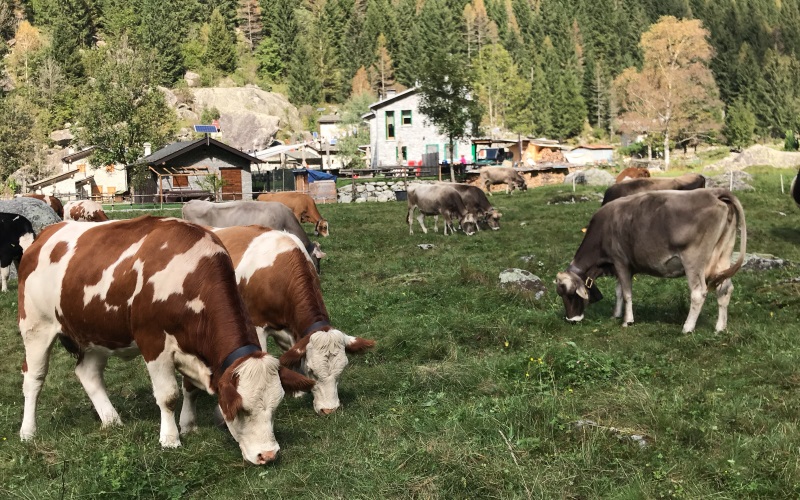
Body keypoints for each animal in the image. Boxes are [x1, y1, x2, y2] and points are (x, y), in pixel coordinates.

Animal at [18, 217, 312, 466]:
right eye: (240, 409)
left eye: (276, 407)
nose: (269, 455)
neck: (191, 276)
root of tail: (45, 234)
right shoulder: (153, 341)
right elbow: (168, 395)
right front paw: (170, 438)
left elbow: (190, 388)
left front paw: (188, 425)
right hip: (35, 326)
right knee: (34, 378)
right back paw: (28, 431)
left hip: (97, 332)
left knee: (87, 373)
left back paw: (111, 420)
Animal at [552, 189, 748, 334]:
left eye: (570, 294)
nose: (571, 320)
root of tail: (714, 192)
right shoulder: (620, 266)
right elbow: (619, 291)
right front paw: (616, 314)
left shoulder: (620, 261)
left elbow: (626, 293)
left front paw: (627, 321)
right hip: (723, 256)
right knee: (725, 289)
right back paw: (720, 327)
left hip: (694, 260)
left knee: (699, 292)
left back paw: (687, 328)